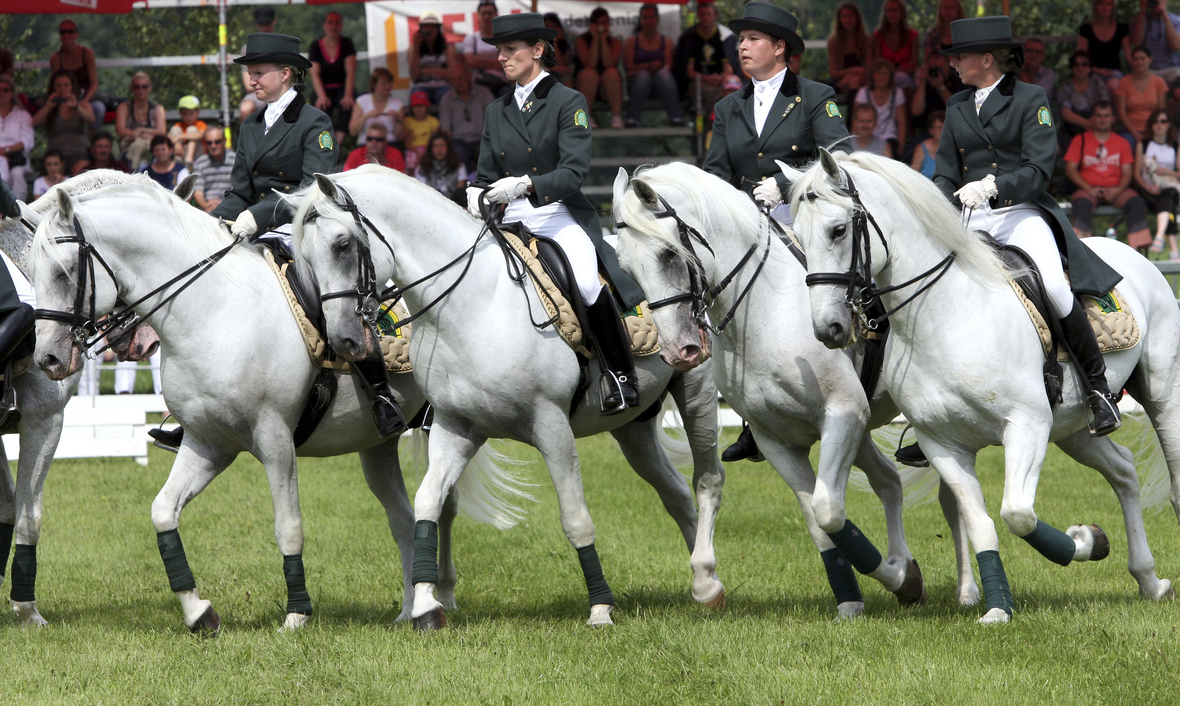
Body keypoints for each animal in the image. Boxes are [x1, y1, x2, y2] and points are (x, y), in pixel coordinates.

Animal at [29, 175, 526, 637]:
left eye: (64, 272)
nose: (48, 358)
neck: (215, 311)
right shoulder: (208, 444)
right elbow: (163, 511)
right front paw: (198, 612)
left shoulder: (274, 441)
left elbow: (288, 525)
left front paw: (297, 614)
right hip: (378, 445)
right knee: (406, 517)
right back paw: (411, 607)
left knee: (444, 505)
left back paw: (441, 595)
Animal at [290, 167, 722, 632]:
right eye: (303, 257)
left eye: (342, 244)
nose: (345, 341)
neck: (472, 304)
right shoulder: (456, 426)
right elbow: (428, 502)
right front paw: (425, 606)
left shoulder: (551, 425)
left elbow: (575, 519)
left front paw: (601, 608)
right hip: (632, 428)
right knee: (675, 493)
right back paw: (703, 581)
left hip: (696, 393)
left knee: (706, 480)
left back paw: (707, 580)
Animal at [613, 162, 943, 618]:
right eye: (626, 269)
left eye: (668, 254)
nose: (680, 351)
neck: (767, 314)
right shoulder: (777, 440)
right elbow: (820, 521)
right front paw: (855, 600)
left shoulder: (844, 414)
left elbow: (828, 510)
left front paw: (895, 579)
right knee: (889, 481)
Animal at [778, 149, 1175, 623]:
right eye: (798, 238)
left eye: (838, 230)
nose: (828, 329)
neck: (945, 314)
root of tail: (1134, 255)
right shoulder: (942, 443)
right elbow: (983, 522)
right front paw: (1000, 605)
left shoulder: (1026, 426)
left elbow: (1017, 513)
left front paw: (1083, 541)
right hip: (1074, 428)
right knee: (1124, 470)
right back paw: (1149, 579)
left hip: (1160, 396)